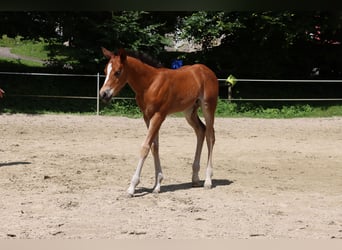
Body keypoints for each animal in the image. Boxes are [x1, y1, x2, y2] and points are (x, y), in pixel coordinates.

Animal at [99, 47, 218, 196]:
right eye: (105, 71)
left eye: (118, 71)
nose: (103, 94)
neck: (149, 84)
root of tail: (207, 71)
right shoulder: (147, 117)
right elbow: (154, 146)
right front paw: (157, 185)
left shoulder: (159, 116)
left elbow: (145, 147)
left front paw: (132, 187)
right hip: (189, 111)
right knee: (201, 131)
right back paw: (195, 178)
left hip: (208, 107)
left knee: (210, 136)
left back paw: (208, 180)